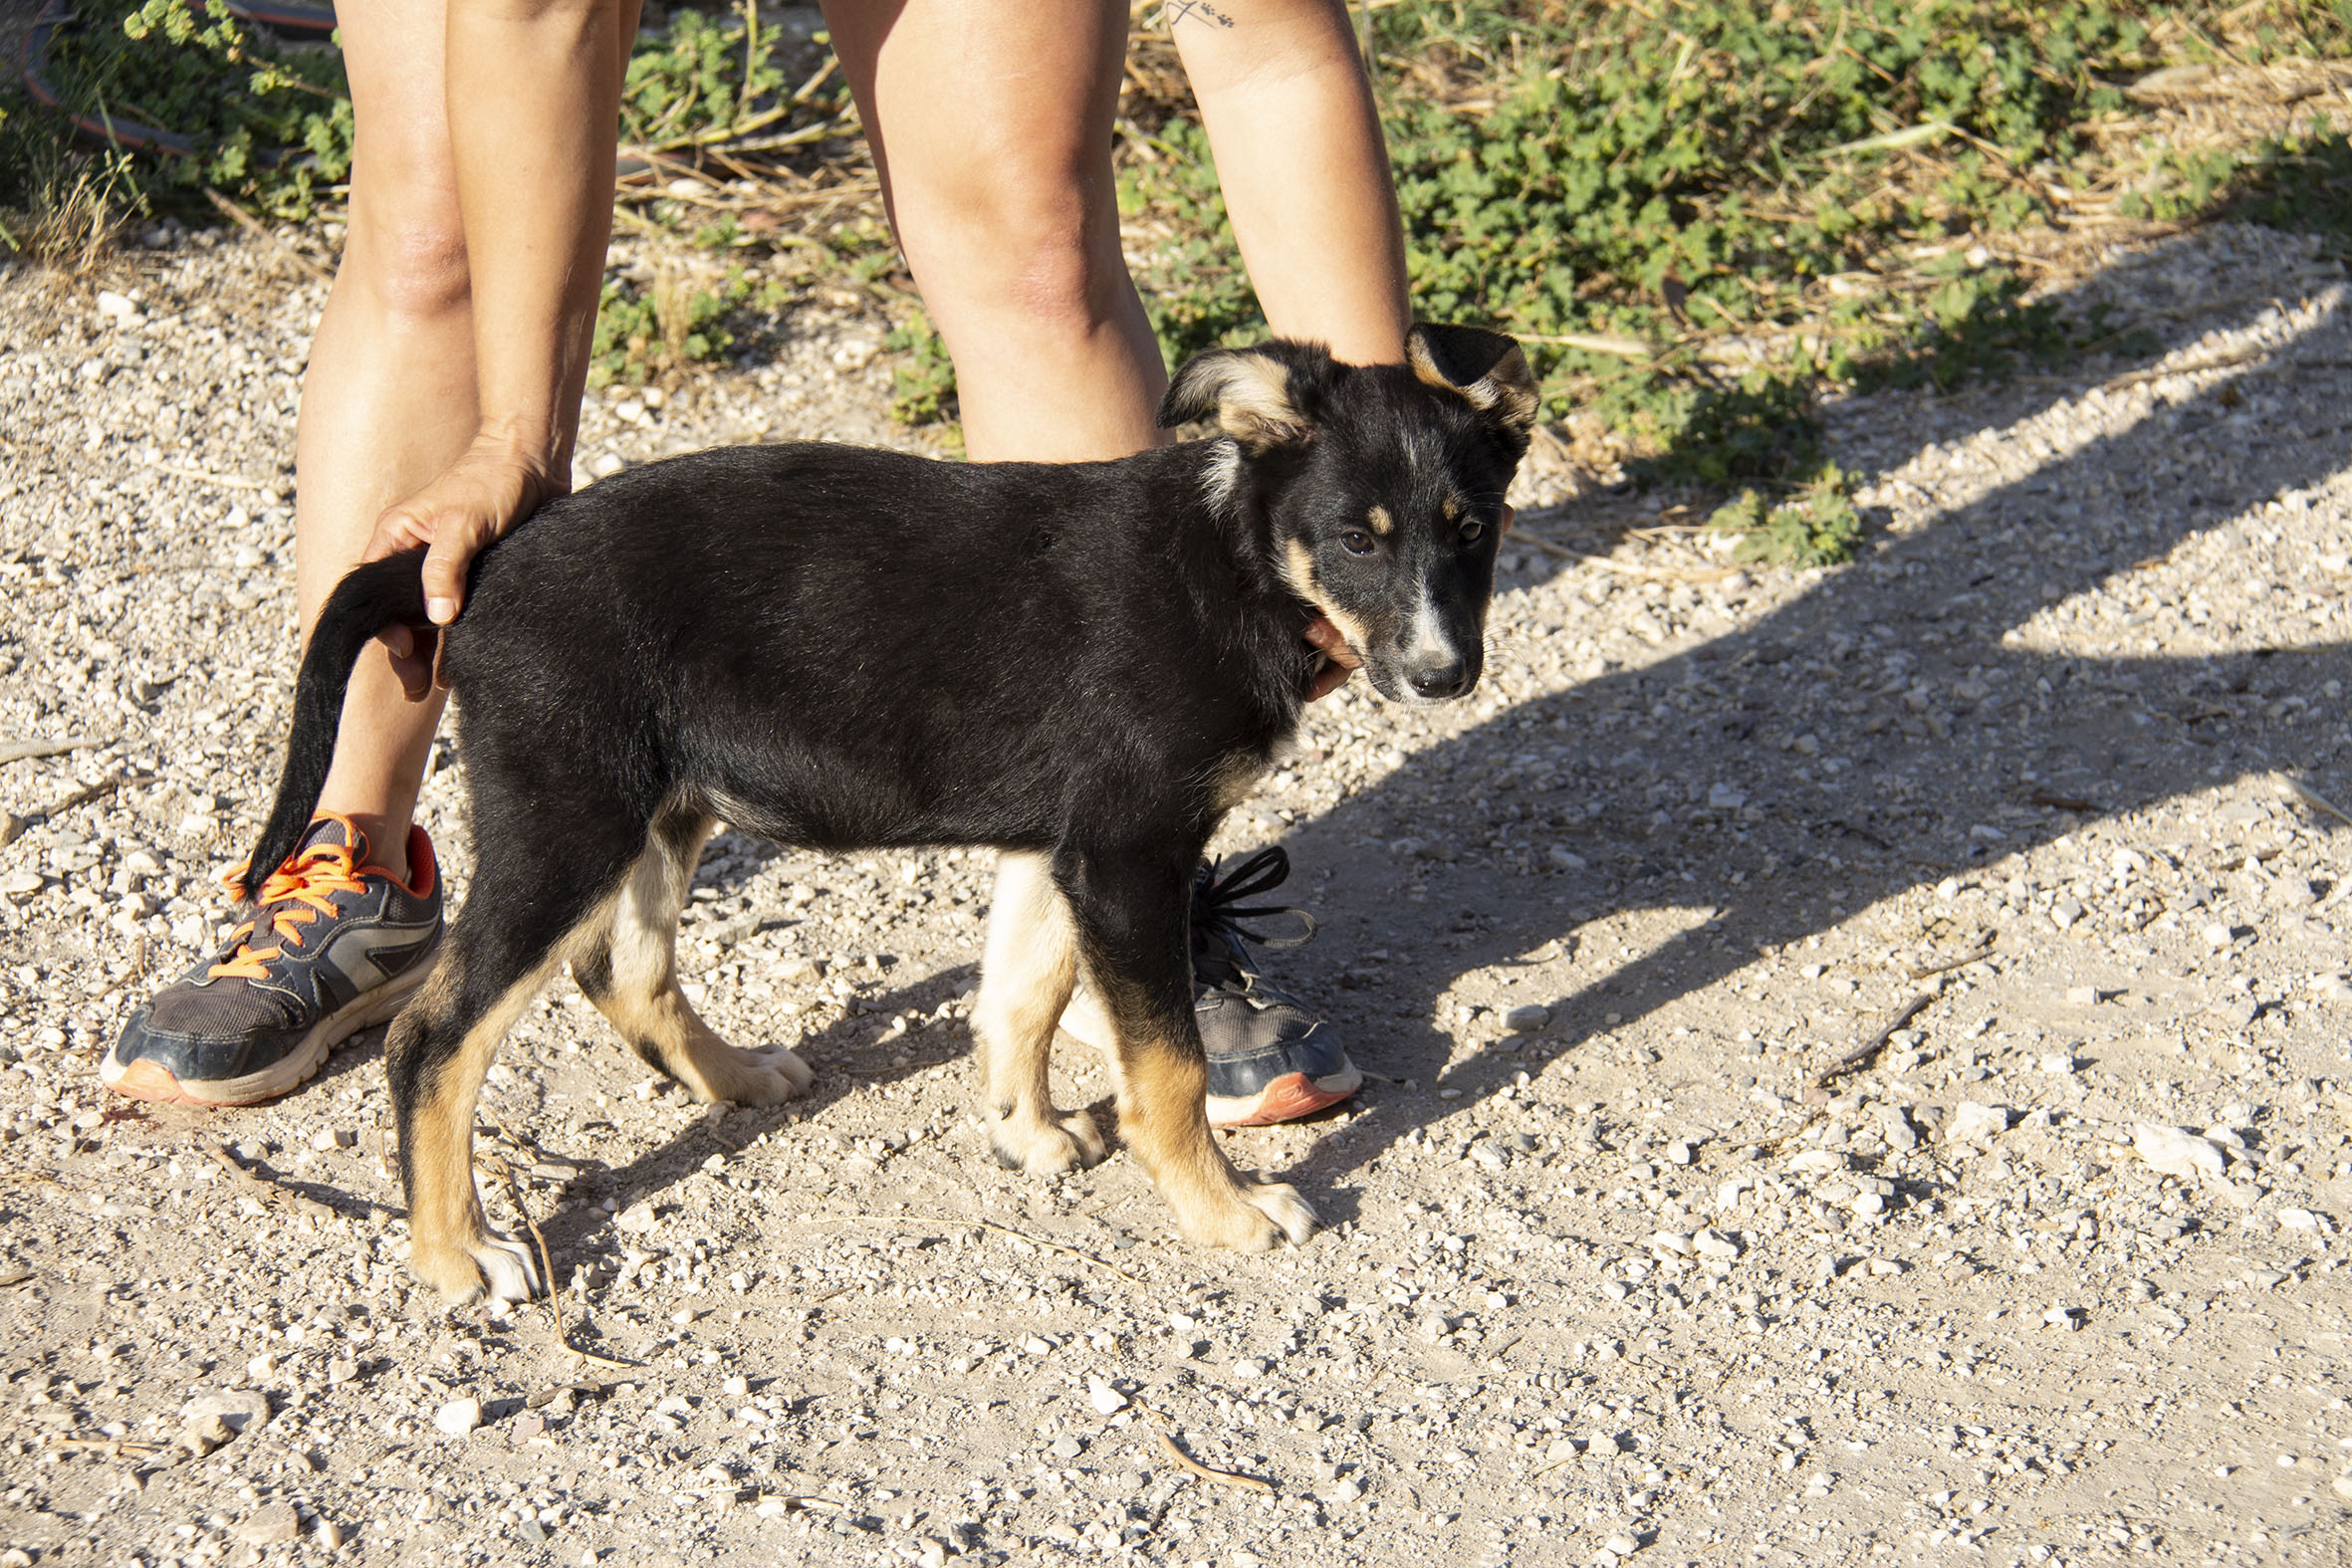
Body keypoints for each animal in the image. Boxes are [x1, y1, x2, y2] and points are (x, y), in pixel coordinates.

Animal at [240, 325, 1536, 1302]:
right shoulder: (1130, 851)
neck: (1236, 559)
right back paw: (458, 1256)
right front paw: (1223, 1211)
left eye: (1473, 529)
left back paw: (736, 1077)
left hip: (664, 805)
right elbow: (1161, 1064)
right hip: (567, 813)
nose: (1444, 676)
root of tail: (481, 565)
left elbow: (1020, 995)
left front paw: (1027, 1134)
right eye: (1357, 538)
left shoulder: (1062, 845)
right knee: (435, 1035)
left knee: (622, 969)